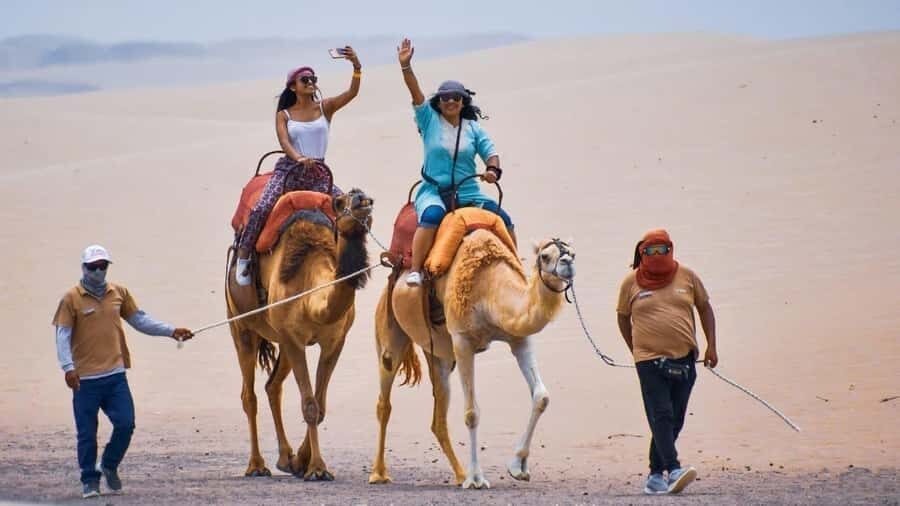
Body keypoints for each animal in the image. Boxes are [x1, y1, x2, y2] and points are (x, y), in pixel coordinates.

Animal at [225, 188, 373, 481]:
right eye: (341, 203)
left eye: (363, 198)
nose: (360, 197)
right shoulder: (293, 339)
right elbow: (310, 405)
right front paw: (317, 469)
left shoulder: (334, 341)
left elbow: (320, 405)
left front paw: (302, 461)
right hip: (240, 324)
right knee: (249, 395)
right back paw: (257, 466)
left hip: (281, 342)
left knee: (272, 386)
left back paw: (285, 458)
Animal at [369, 230, 576, 489]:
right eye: (545, 256)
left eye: (573, 253)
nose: (567, 264)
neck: (490, 290)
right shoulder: (463, 341)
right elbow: (471, 413)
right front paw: (477, 478)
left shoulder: (519, 339)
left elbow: (542, 397)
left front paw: (518, 467)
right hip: (390, 332)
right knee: (384, 402)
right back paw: (379, 473)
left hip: (438, 355)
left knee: (438, 417)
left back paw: (459, 475)